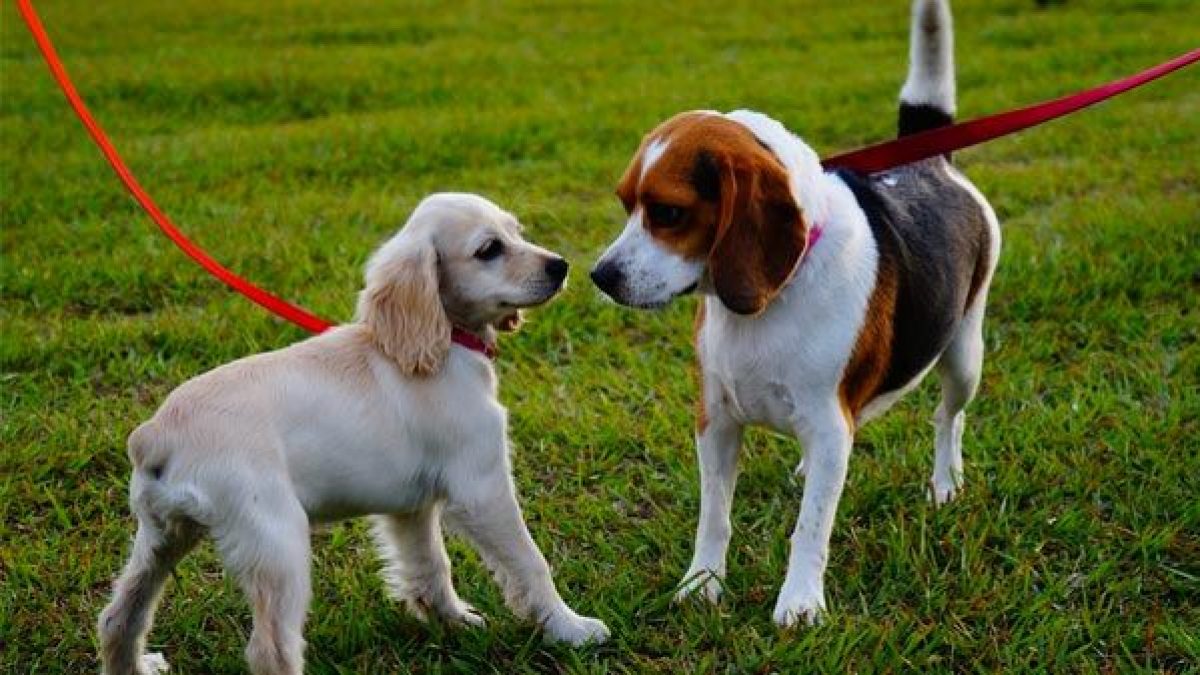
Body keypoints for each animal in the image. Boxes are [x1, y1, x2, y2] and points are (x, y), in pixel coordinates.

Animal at [98, 190, 609, 672]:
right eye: (489, 249)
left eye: (516, 231)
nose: (560, 266)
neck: (443, 343)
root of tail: (155, 434)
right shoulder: (482, 488)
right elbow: (529, 562)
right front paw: (571, 628)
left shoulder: (412, 508)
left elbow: (430, 565)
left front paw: (451, 621)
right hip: (277, 542)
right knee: (270, 650)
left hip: (161, 537)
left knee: (119, 617)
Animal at [592, 0, 1003, 624]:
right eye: (624, 203)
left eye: (668, 213)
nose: (601, 276)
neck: (770, 300)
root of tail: (932, 161)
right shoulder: (716, 420)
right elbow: (714, 517)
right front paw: (702, 583)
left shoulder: (832, 425)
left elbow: (811, 528)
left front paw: (801, 603)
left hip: (964, 357)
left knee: (947, 418)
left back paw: (945, 482)